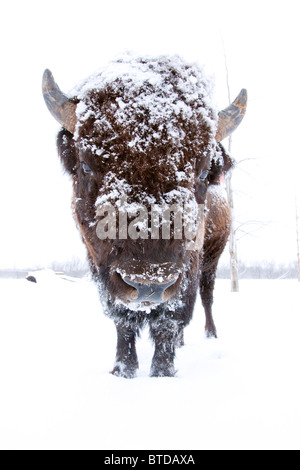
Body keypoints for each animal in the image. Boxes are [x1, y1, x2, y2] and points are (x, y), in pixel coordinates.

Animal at [42, 55, 248, 378]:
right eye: (86, 165)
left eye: (203, 172)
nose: (149, 285)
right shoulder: (102, 271)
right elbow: (123, 321)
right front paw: (122, 370)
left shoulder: (187, 269)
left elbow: (168, 320)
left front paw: (162, 372)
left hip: (212, 260)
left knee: (207, 295)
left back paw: (210, 335)